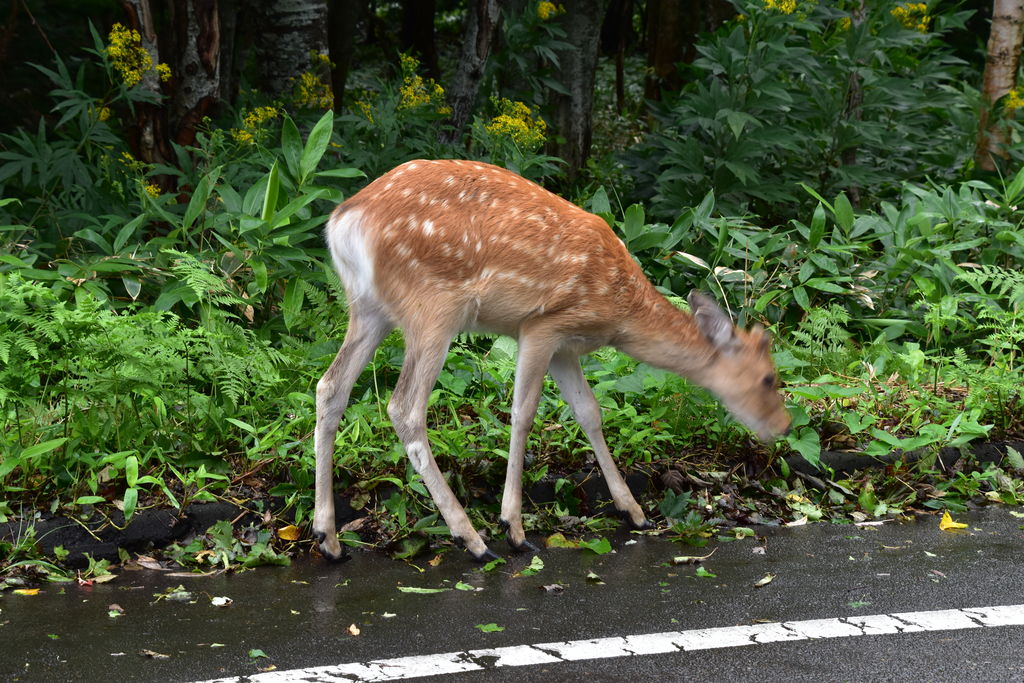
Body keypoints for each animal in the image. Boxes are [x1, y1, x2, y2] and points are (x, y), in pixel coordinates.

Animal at [311, 158, 790, 561]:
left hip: (369, 308)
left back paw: (328, 538)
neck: (619, 312)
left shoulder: (567, 347)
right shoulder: (542, 325)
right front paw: (514, 526)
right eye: (769, 378)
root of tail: (343, 221)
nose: (784, 426)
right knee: (404, 407)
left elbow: (589, 412)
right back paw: (472, 539)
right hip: (433, 306)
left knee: (330, 386)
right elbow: (523, 413)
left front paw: (633, 510)